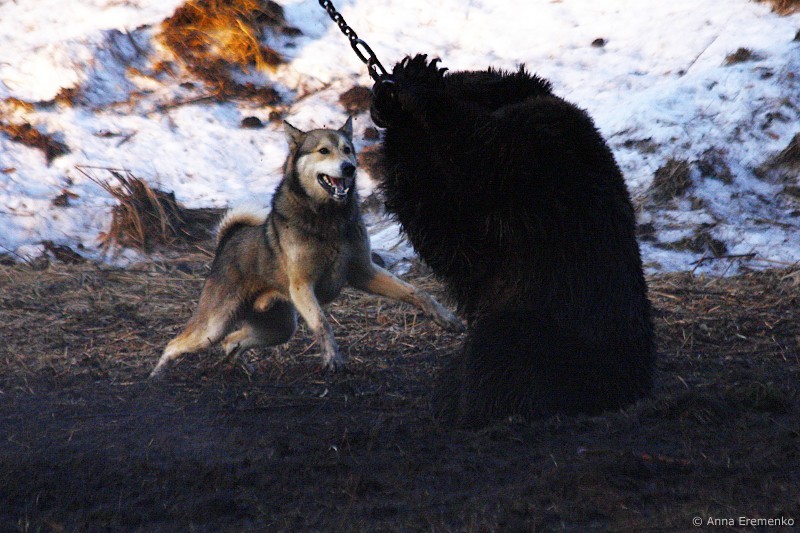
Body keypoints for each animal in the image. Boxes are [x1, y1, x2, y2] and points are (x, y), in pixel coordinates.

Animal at [149, 117, 462, 379]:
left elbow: (416, 292)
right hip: (213, 326)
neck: (328, 219)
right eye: (323, 151)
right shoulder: (302, 286)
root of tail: (227, 240)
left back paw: (240, 365)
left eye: (348, 150)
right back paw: (157, 376)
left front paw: (446, 318)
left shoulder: (364, 272)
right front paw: (332, 359)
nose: (349, 167)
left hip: (279, 329)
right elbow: (322, 323)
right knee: (175, 343)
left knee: (231, 341)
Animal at [370, 54, 655, 426]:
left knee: (503, 356)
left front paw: (419, 78)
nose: (381, 90)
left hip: (556, 329)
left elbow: (486, 151)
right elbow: (444, 229)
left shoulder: (543, 158)